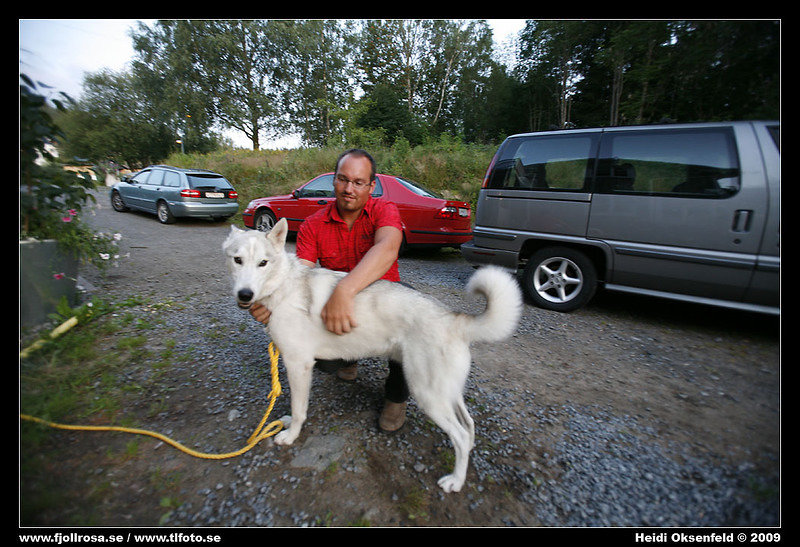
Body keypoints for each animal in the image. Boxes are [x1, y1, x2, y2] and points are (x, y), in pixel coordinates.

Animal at [223, 218, 522, 493]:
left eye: (263, 263)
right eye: (238, 260)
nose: (245, 294)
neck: (283, 287)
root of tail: (454, 318)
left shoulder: (299, 365)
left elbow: (299, 410)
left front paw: (291, 435)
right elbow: (294, 408)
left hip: (428, 394)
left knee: (459, 436)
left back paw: (456, 481)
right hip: (447, 393)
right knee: (469, 428)